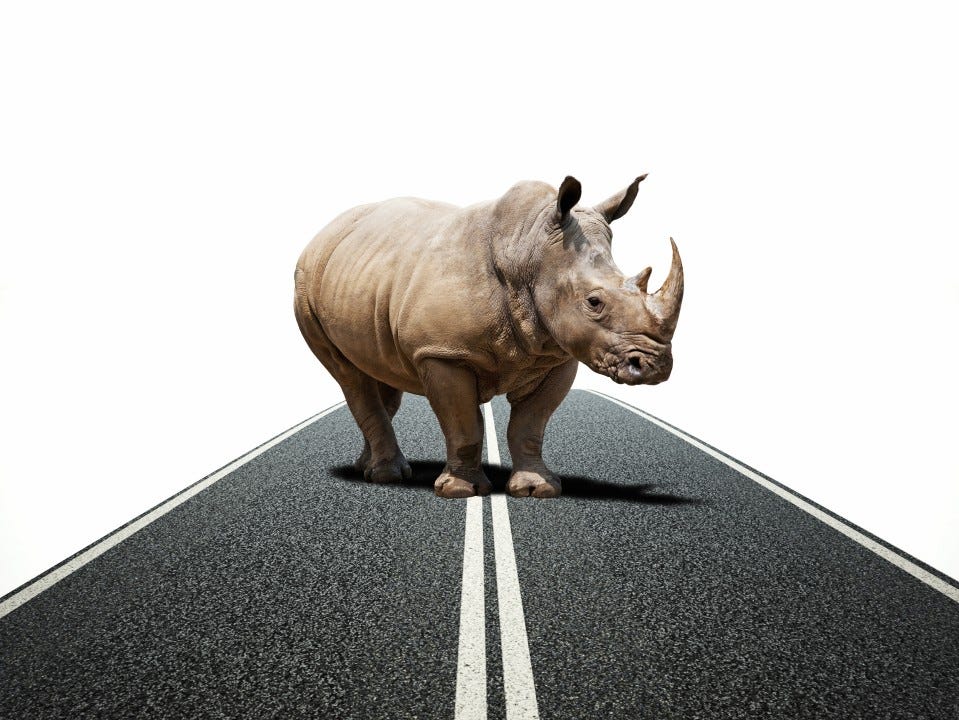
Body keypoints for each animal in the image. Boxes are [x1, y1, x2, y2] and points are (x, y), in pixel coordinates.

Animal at [294, 175, 683, 498]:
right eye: (594, 302)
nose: (655, 367)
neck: (529, 251)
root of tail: (323, 234)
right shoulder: (442, 352)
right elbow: (464, 423)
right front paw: (461, 491)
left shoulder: (559, 355)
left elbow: (530, 425)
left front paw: (538, 489)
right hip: (304, 284)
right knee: (349, 375)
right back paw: (387, 475)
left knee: (380, 373)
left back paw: (367, 467)